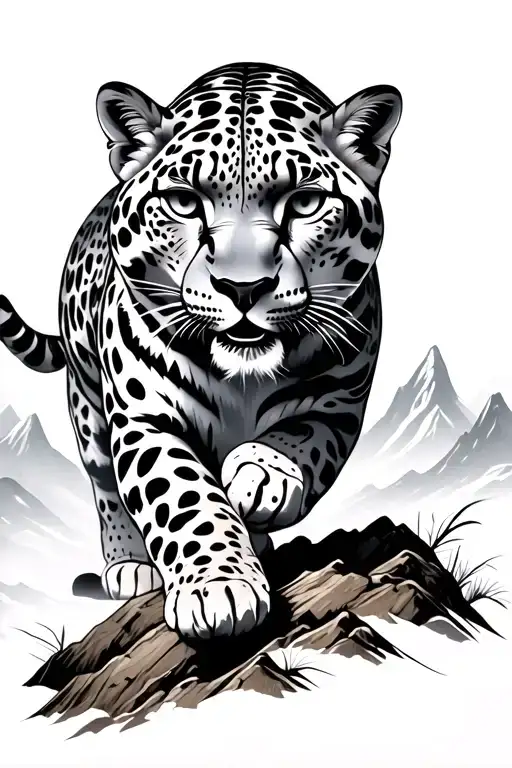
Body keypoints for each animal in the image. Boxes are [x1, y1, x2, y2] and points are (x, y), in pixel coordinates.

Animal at [0, 62, 402, 639]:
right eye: (185, 202)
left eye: (305, 203)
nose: (243, 287)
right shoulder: (146, 418)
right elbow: (184, 498)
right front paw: (219, 588)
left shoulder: (338, 406)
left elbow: (299, 440)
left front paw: (264, 478)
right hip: (88, 405)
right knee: (103, 484)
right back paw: (129, 566)